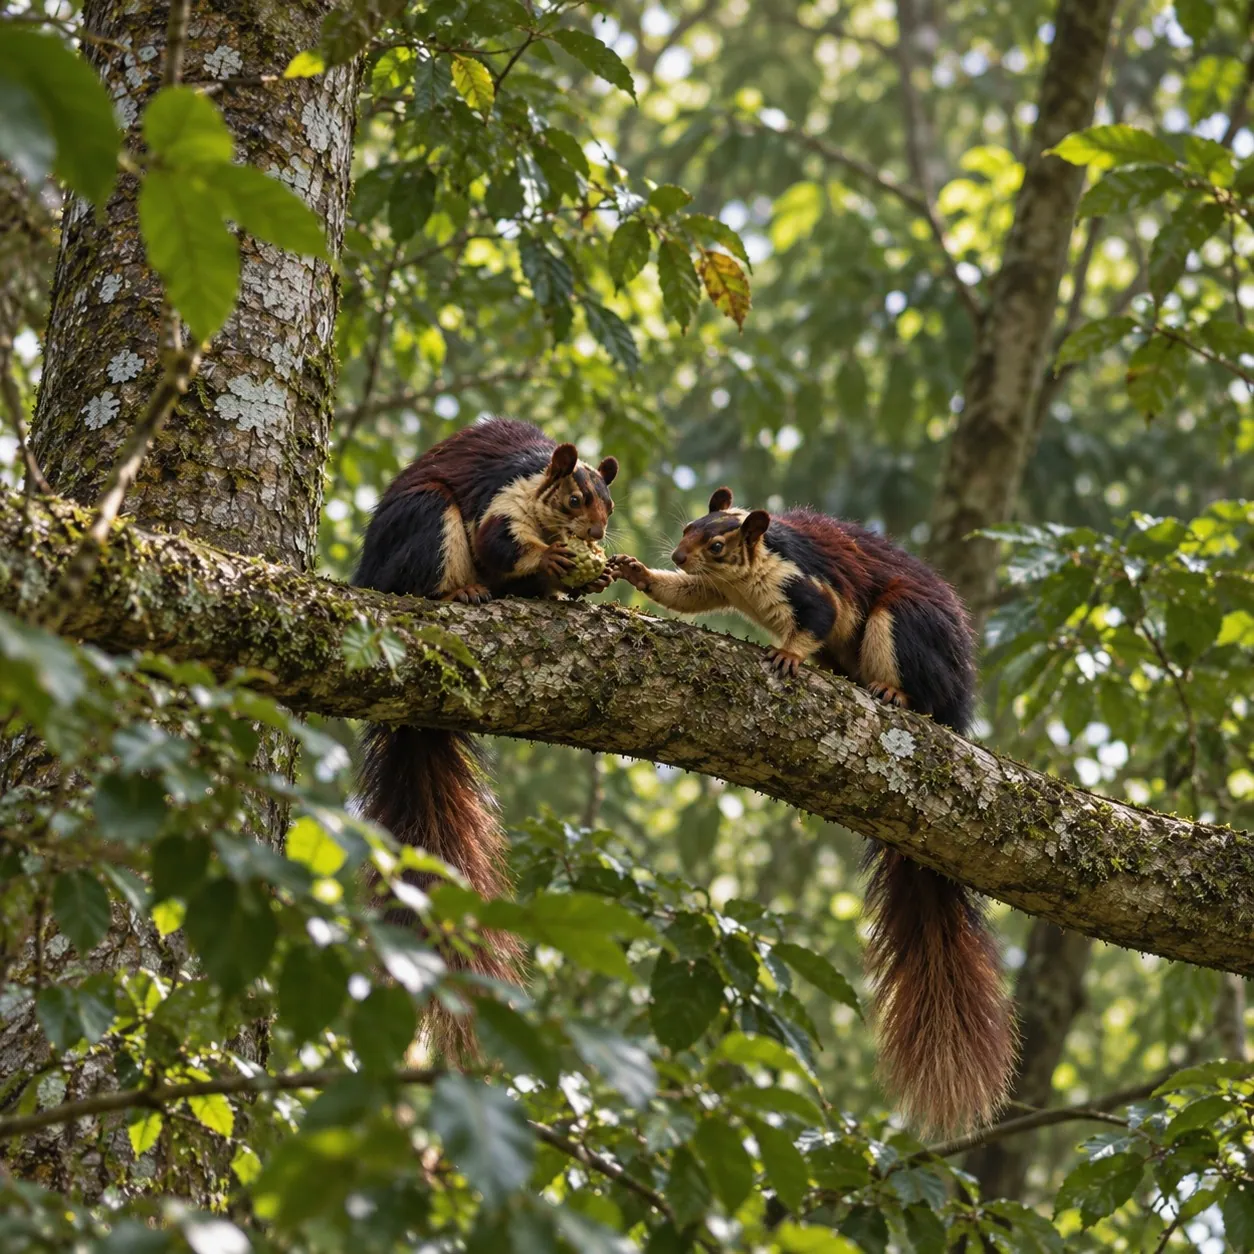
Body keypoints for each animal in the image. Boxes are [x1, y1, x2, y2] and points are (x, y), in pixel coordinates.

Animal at [352, 417, 619, 1052]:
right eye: (575, 500)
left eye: (611, 504)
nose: (598, 534)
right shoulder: (505, 500)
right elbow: (502, 543)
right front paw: (552, 561)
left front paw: (594, 575)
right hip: (425, 526)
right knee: (423, 572)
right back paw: (460, 592)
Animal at [608, 487, 1015, 1134]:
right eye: (689, 526)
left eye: (716, 543)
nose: (676, 552)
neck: (749, 573)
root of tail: (959, 700)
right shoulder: (715, 590)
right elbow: (687, 596)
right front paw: (639, 572)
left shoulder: (805, 586)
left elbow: (817, 619)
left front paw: (789, 656)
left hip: (903, 627)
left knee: (913, 678)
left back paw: (894, 693)